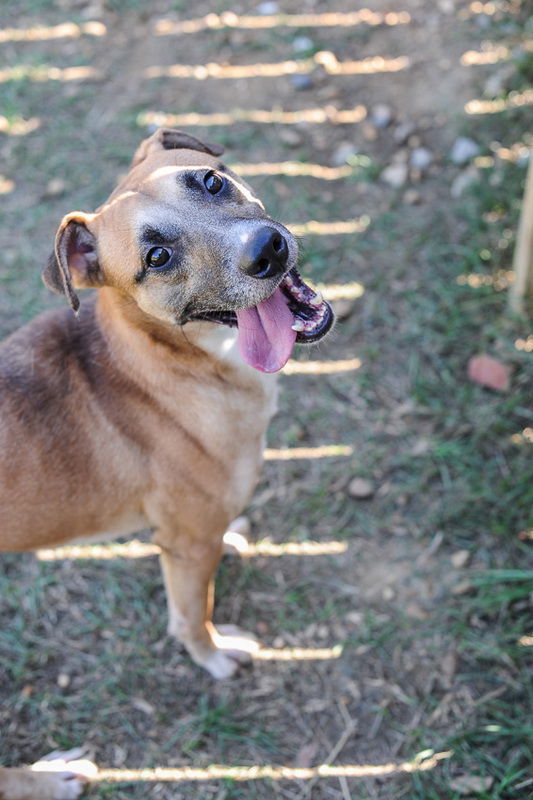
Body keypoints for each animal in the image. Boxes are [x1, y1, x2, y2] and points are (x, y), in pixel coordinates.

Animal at [1, 128, 332, 796]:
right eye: (156, 257)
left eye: (210, 181)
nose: (267, 251)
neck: (171, 359)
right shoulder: (186, 545)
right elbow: (192, 616)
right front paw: (214, 654)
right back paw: (49, 778)